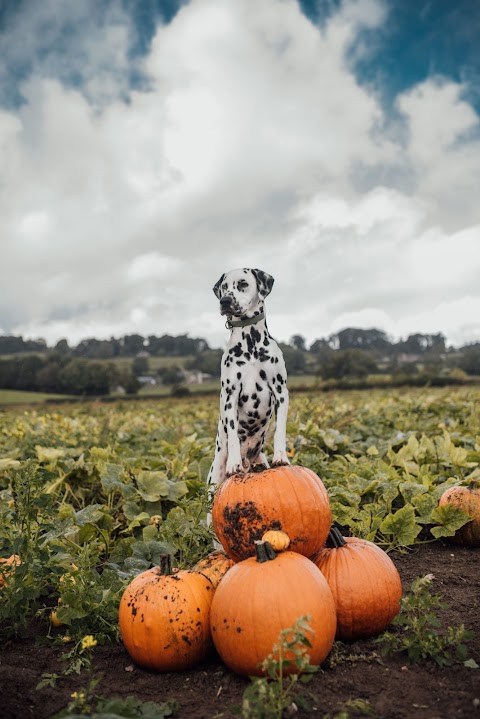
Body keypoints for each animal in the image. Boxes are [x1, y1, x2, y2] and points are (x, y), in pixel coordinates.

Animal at [208, 268, 290, 486]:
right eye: (224, 287)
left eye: (243, 283)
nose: (225, 301)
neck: (250, 342)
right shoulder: (230, 396)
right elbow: (233, 435)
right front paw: (233, 464)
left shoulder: (281, 392)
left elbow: (280, 430)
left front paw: (281, 456)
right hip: (214, 477)